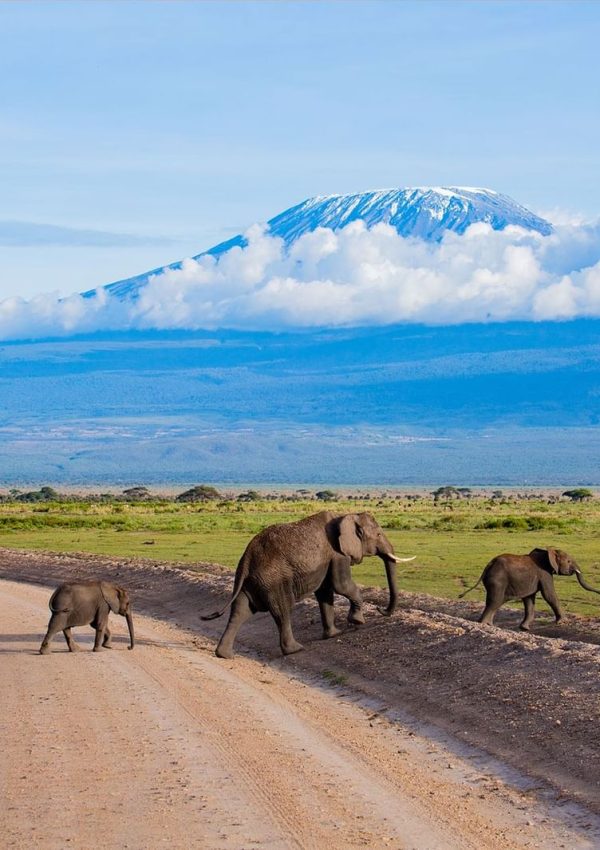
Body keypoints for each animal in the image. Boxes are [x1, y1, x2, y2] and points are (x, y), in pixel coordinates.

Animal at [204, 506, 414, 660]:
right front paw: (357, 621)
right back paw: (296, 649)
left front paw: (334, 634)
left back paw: (224, 655)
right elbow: (342, 585)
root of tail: (247, 557)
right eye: (378, 535)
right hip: (273, 579)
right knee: (283, 610)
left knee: (240, 611)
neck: (345, 514)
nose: (381, 610)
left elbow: (325, 593)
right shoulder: (338, 553)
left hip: (252, 580)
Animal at [462, 548, 596, 628]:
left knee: (494, 603)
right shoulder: (544, 573)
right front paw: (563, 622)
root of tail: (489, 564)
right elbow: (549, 595)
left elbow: (529, 599)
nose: (598, 592)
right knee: (495, 601)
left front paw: (524, 628)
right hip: (497, 581)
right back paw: (484, 625)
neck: (547, 551)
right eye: (568, 561)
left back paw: (489, 625)